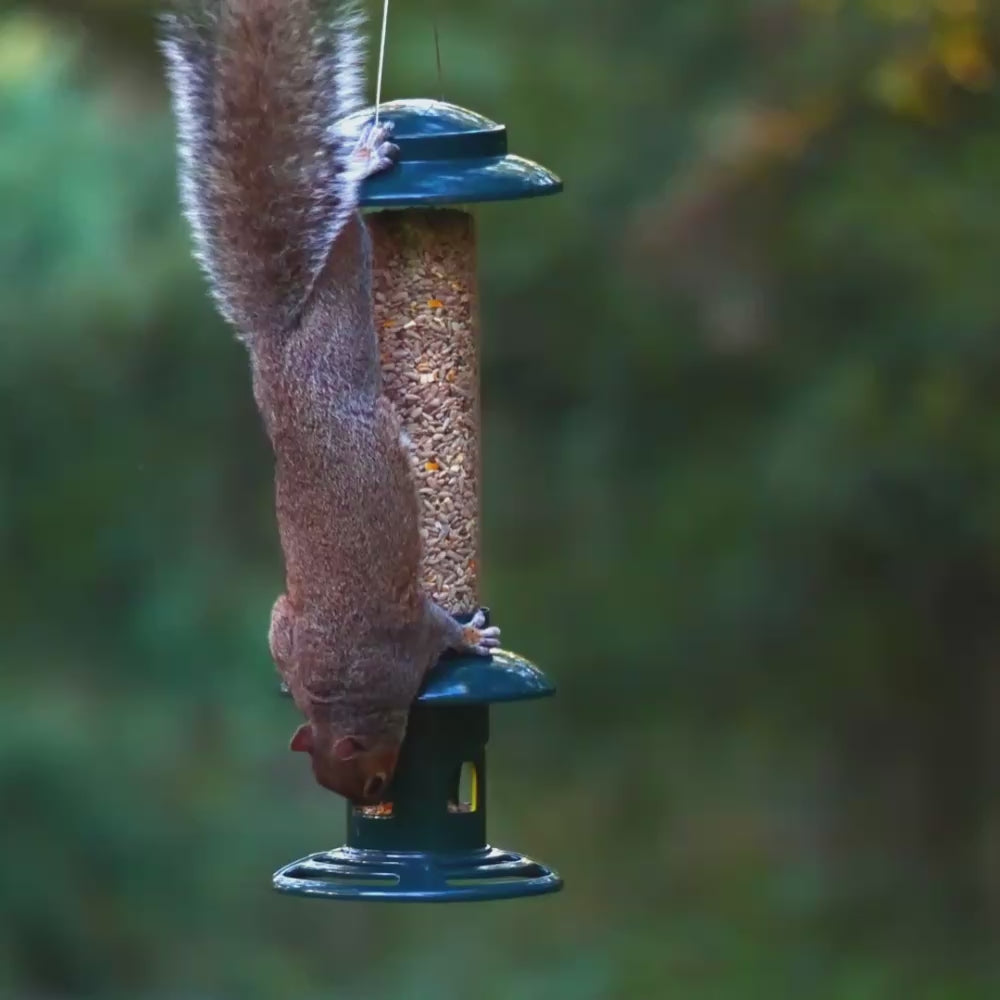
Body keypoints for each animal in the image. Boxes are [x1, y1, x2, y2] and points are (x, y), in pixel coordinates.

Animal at [160, 0, 500, 804]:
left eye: (371, 782)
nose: (378, 802)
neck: (343, 688)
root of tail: (278, 341)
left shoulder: (402, 640)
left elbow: (442, 633)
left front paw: (476, 636)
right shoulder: (343, 637)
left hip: (340, 320)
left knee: (342, 213)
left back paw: (365, 161)